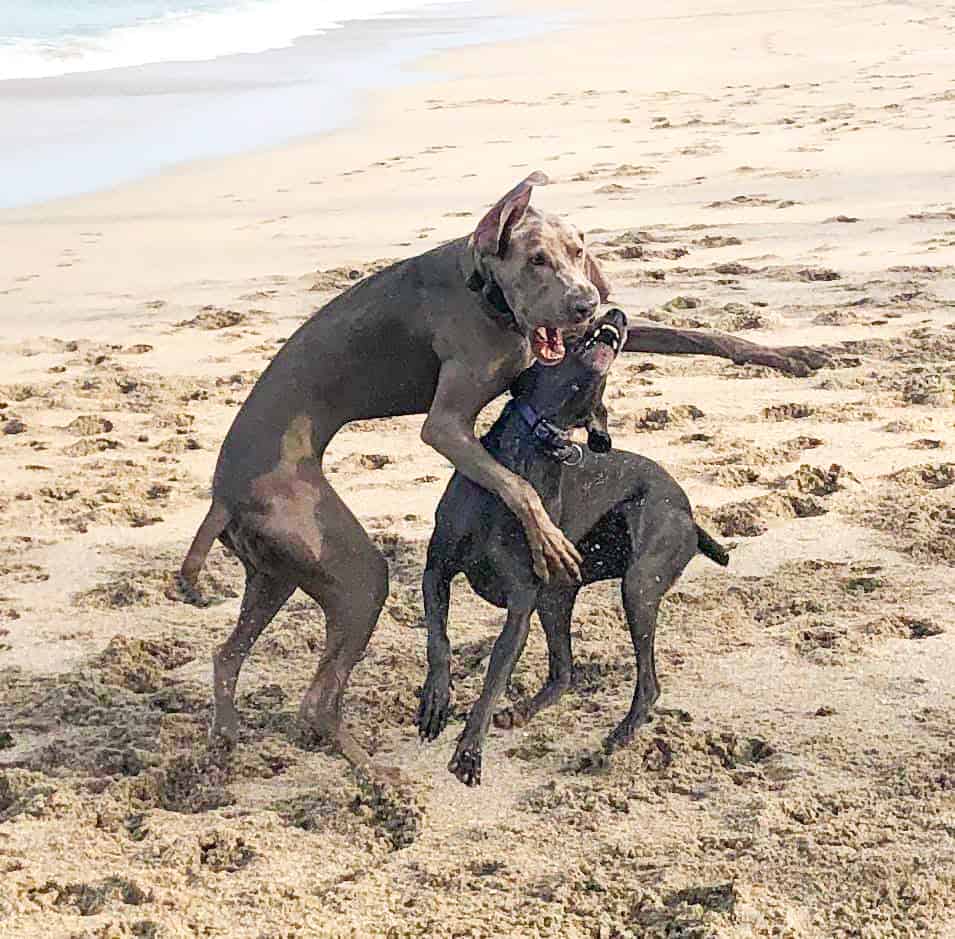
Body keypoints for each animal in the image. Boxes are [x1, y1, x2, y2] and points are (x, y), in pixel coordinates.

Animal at [416, 308, 724, 784]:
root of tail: (689, 513)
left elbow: (491, 685)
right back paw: (523, 711)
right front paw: (436, 700)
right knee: (565, 672)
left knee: (648, 683)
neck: (534, 447)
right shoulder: (438, 569)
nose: (616, 312)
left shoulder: (520, 606)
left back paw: (615, 741)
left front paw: (469, 751)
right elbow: (439, 640)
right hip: (558, 597)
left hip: (637, 585)